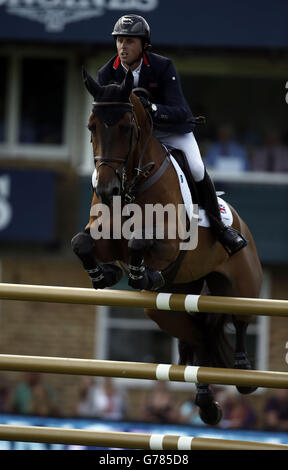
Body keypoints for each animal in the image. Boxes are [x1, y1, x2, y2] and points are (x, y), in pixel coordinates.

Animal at [71, 69, 264, 426]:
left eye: (126, 127)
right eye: (91, 127)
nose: (106, 190)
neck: (131, 186)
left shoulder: (170, 241)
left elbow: (141, 240)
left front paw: (141, 274)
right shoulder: (103, 238)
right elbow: (82, 243)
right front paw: (104, 274)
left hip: (242, 283)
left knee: (241, 318)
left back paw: (243, 373)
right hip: (166, 309)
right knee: (197, 340)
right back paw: (206, 404)